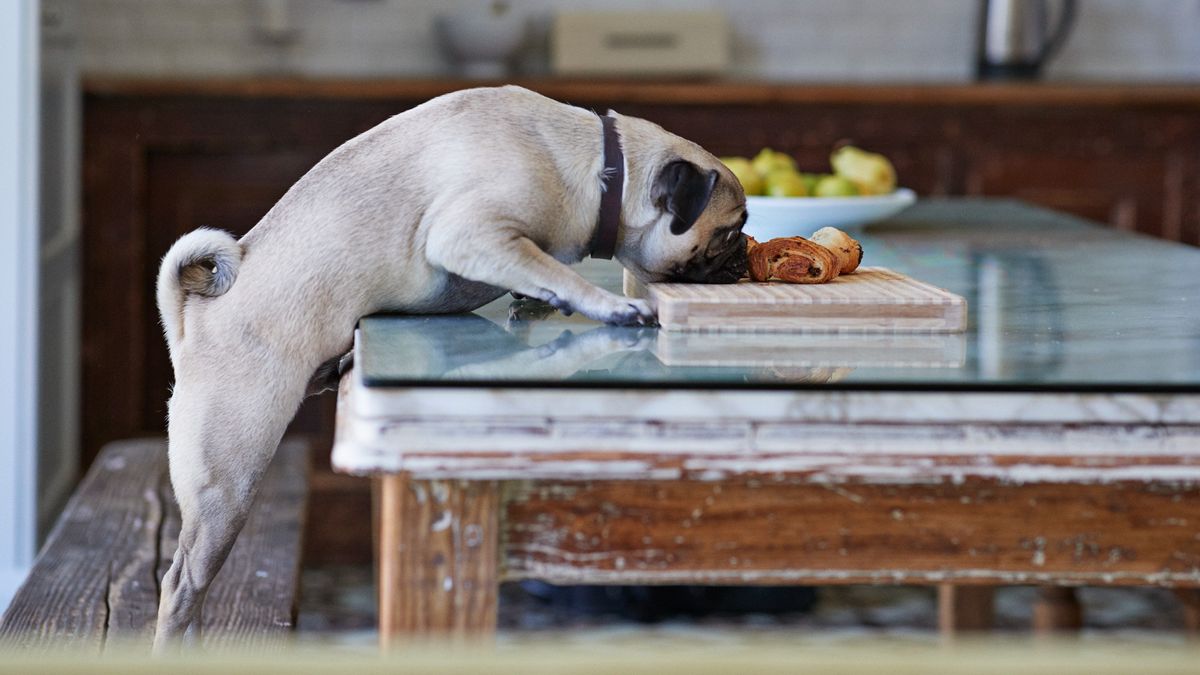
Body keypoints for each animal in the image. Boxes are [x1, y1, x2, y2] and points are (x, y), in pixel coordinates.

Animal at [154, 84, 744, 648]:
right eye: (729, 232)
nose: (742, 256)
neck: (602, 172)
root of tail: (193, 316)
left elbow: (539, 275)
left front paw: (536, 302)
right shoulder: (473, 235)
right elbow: (555, 271)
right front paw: (607, 305)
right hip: (228, 484)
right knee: (181, 583)